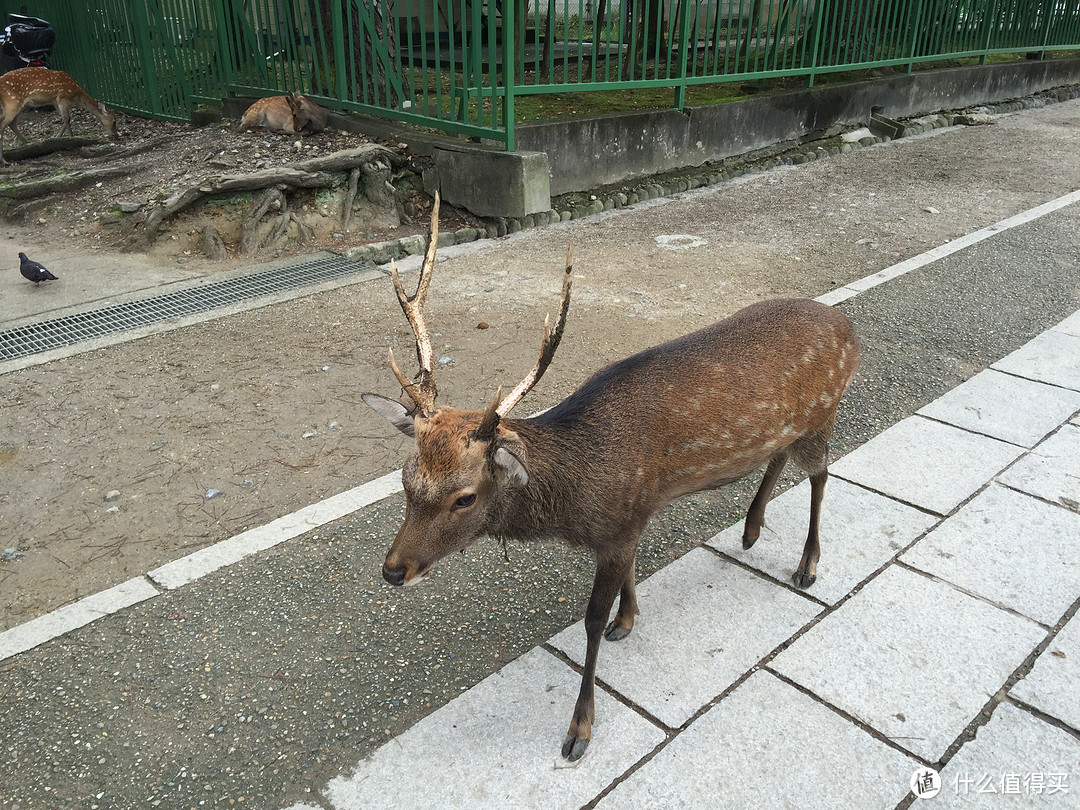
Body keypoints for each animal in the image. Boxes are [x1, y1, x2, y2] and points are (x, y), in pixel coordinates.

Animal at [362, 195, 859, 760]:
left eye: (464, 498)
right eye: (406, 480)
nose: (393, 571)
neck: (578, 498)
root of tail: (851, 330)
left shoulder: (620, 521)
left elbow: (591, 621)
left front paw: (579, 728)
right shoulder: (632, 516)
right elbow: (629, 576)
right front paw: (629, 620)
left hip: (825, 412)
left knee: (822, 474)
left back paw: (807, 565)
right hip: (791, 427)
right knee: (781, 459)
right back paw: (751, 529)